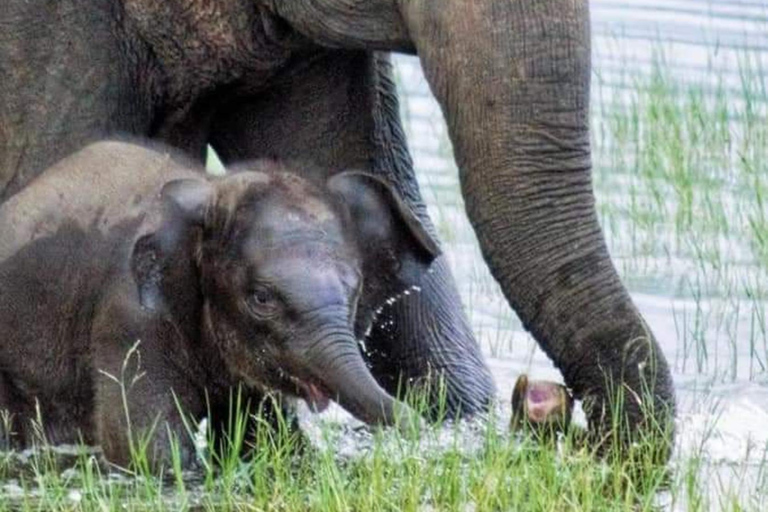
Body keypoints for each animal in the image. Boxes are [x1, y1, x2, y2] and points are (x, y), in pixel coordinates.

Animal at [0, 141, 438, 468]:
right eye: (261, 298)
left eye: (356, 289)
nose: (420, 421)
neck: (212, 187)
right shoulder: (126, 318)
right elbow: (147, 452)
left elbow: (269, 444)